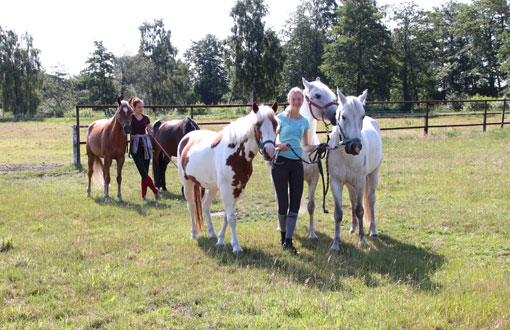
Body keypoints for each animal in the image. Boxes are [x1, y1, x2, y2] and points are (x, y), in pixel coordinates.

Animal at [177, 103, 276, 253]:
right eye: (257, 125)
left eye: (276, 124)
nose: (269, 152)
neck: (236, 152)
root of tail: (186, 138)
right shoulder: (226, 189)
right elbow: (232, 219)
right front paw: (236, 246)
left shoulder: (238, 188)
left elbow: (226, 217)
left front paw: (220, 240)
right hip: (187, 182)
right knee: (192, 207)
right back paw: (194, 234)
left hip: (212, 187)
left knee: (205, 205)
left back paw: (211, 233)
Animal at [326, 88, 382, 250]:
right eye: (343, 116)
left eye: (362, 116)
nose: (355, 147)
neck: (345, 154)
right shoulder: (336, 182)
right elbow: (338, 213)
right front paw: (335, 243)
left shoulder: (360, 182)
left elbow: (360, 210)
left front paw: (362, 240)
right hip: (350, 184)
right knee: (352, 199)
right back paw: (353, 227)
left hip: (373, 175)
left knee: (370, 200)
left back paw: (373, 231)